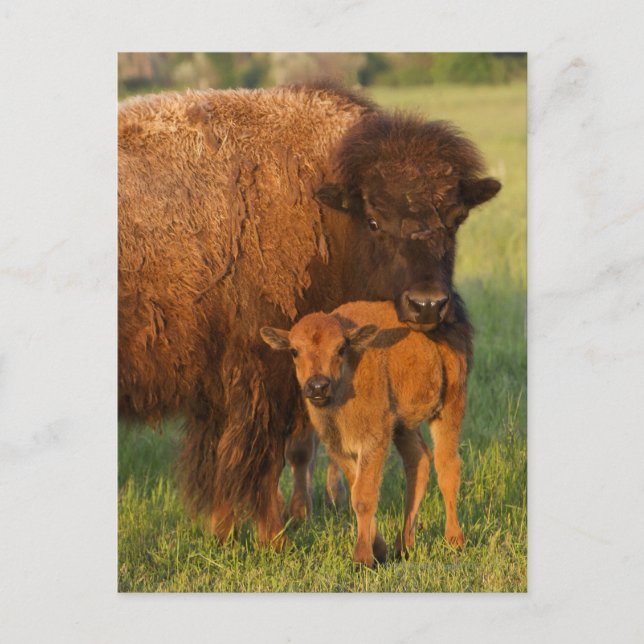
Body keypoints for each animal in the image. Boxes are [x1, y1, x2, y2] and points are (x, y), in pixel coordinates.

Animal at [118, 83, 500, 547]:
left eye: (456, 219)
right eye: (374, 221)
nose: (428, 304)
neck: (326, 212)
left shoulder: (221, 390)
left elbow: (223, 463)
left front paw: (224, 533)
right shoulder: (266, 377)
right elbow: (259, 462)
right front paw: (273, 539)